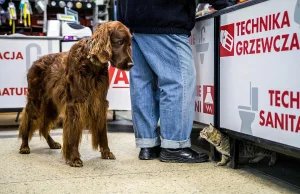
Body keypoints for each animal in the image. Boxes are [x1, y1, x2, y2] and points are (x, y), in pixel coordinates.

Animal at [17, 20, 132, 167]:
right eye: (119, 42)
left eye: (129, 44)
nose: (131, 64)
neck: (92, 65)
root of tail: (35, 62)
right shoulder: (75, 103)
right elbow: (73, 132)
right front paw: (74, 158)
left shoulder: (100, 101)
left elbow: (102, 130)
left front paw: (106, 152)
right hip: (36, 100)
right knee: (27, 120)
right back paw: (24, 146)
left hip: (51, 105)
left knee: (43, 125)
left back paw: (52, 143)